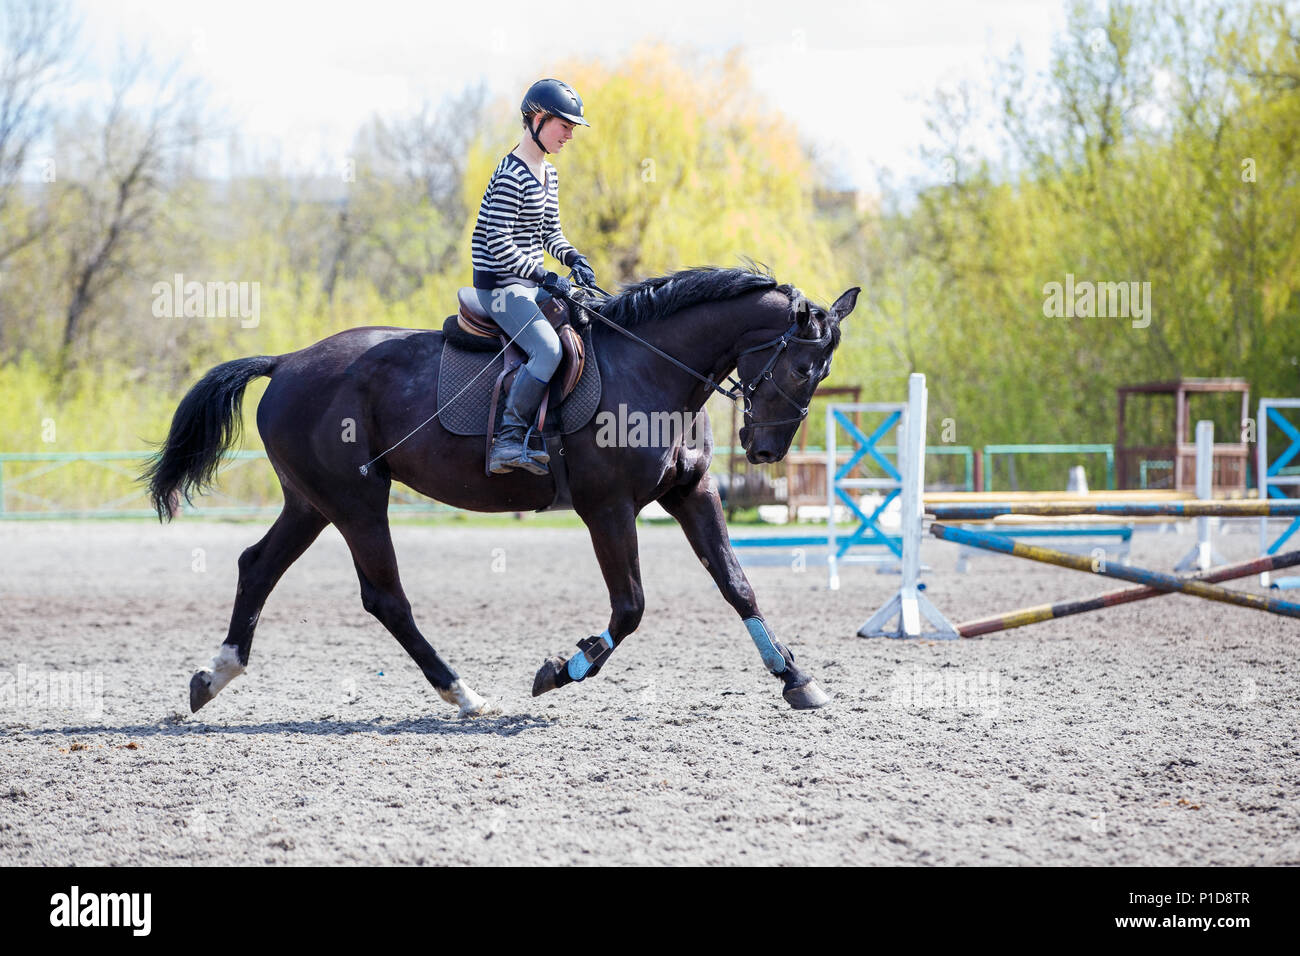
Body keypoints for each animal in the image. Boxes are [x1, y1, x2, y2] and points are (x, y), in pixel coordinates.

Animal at [144, 265, 852, 712]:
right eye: (801, 366)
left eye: (821, 373)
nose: (765, 449)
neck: (650, 367)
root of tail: (287, 361)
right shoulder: (608, 508)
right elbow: (630, 607)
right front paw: (561, 671)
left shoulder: (692, 493)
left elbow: (737, 584)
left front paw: (796, 678)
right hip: (356, 502)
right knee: (385, 598)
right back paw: (463, 694)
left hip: (312, 503)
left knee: (257, 566)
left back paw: (214, 676)